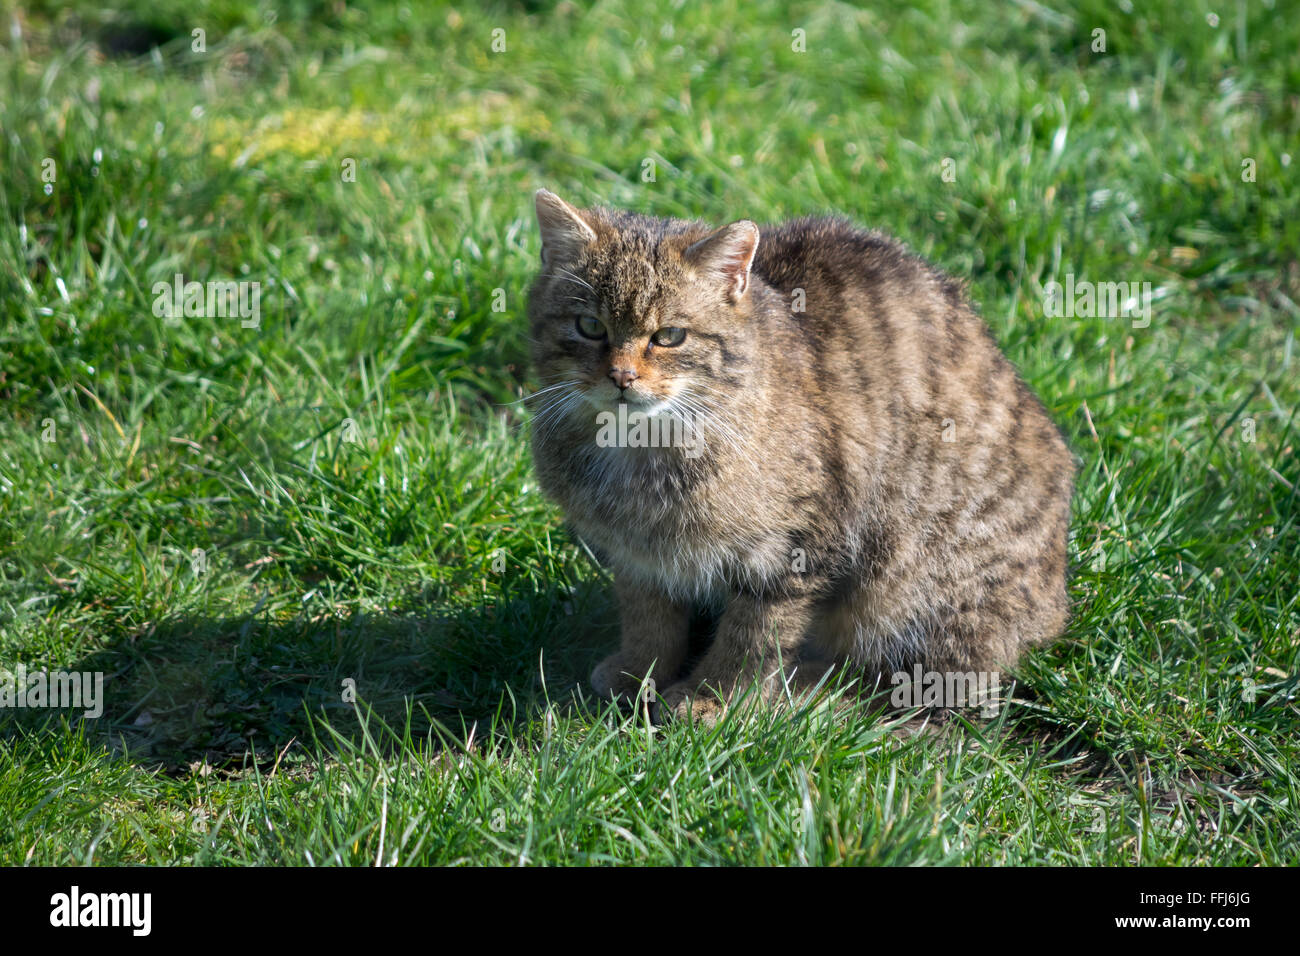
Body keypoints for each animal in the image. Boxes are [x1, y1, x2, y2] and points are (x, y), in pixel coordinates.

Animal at [522, 188, 1071, 723]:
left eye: (670, 336)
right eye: (590, 326)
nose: (622, 376)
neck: (639, 447)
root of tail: (1056, 606)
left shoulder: (791, 551)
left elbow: (753, 636)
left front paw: (713, 697)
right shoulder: (639, 556)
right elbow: (648, 617)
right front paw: (640, 671)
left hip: (911, 579)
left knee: (920, 683)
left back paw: (806, 691)